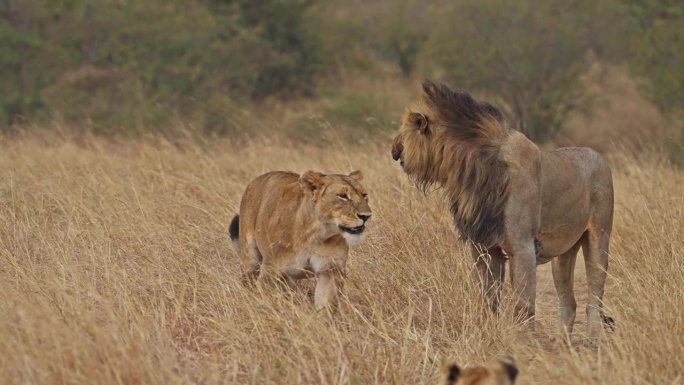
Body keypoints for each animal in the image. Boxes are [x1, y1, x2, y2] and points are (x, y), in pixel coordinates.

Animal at [230, 170, 372, 308]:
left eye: (364, 195)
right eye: (343, 196)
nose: (366, 216)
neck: (316, 235)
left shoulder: (330, 270)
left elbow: (326, 305)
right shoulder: (271, 271)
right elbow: (268, 303)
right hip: (251, 261)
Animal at [390, 81, 616, 342]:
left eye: (405, 131)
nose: (394, 150)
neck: (470, 172)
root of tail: (599, 156)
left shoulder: (522, 246)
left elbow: (523, 302)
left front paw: (523, 339)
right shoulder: (484, 248)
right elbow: (488, 297)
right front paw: (487, 330)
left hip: (599, 236)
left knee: (595, 294)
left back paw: (593, 338)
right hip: (564, 251)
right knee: (569, 302)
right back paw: (562, 342)